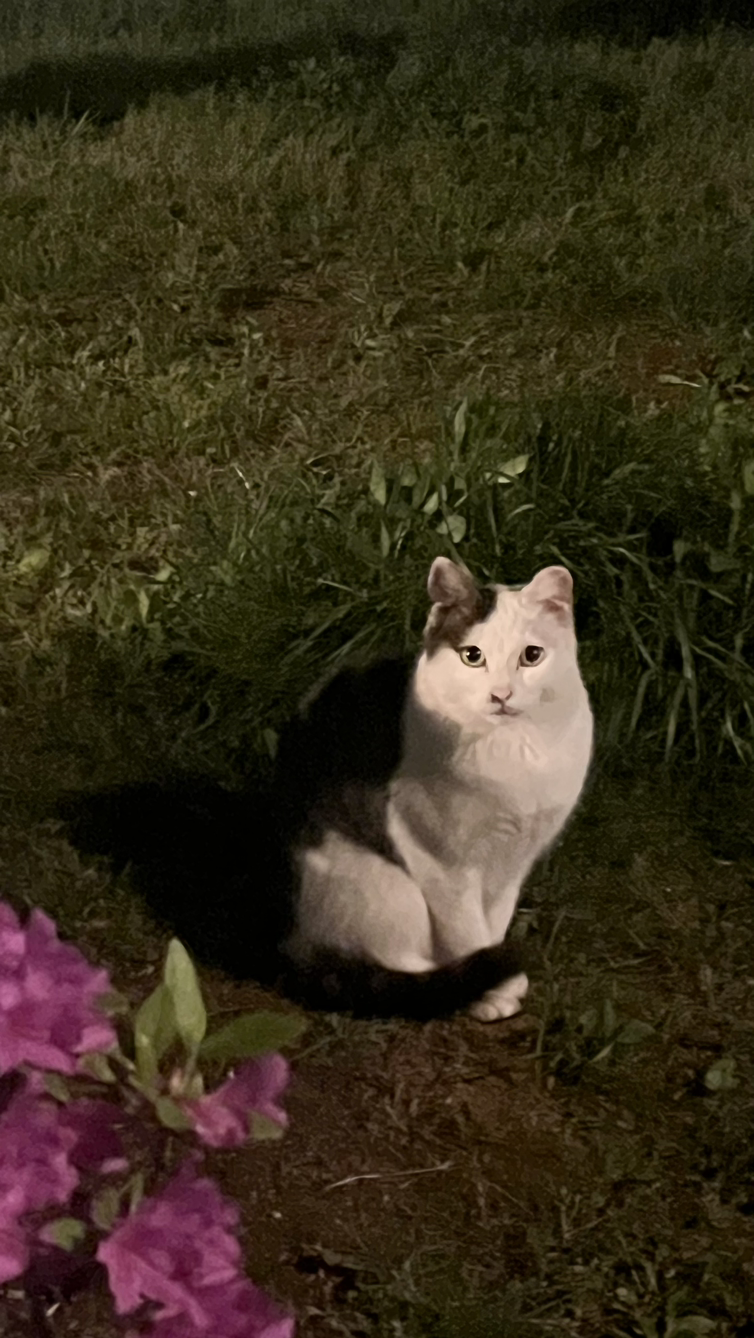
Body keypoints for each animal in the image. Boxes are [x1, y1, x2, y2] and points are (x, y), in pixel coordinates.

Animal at [60, 558, 593, 1022]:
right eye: (472, 657)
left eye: (531, 657)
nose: (501, 695)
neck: (512, 753)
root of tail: (287, 941)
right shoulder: (442, 863)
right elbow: (469, 932)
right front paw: (489, 989)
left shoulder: (513, 861)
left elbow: (495, 921)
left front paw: (498, 978)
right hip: (387, 888)